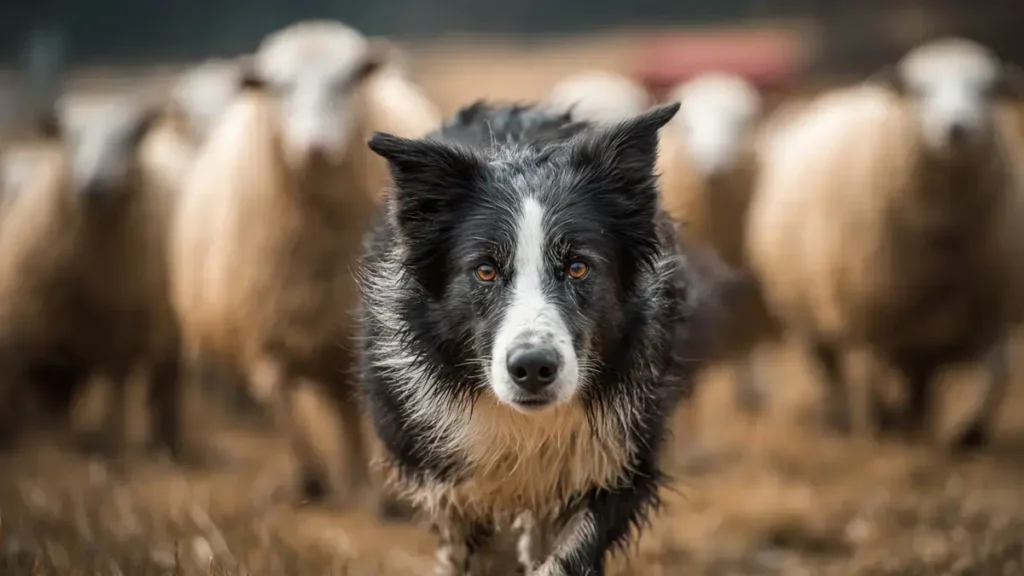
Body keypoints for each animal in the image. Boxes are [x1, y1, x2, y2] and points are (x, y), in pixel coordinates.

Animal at [169, 19, 442, 507]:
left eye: (347, 80)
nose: (315, 148)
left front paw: (376, 492)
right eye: (278, 87)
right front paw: (311, 481)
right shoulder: (264, 336)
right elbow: (285, 408)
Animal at [746, 37, 1024, 448]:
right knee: (833, 371)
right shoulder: (869, 311)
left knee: (919, 381)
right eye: (920, 90)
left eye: (987, 89)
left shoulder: (991, 307)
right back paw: (845, 418)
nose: (957, 129)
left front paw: (971, 431)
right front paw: (877, 429)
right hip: (805, 312)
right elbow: (871, 378)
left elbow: (999, 371)